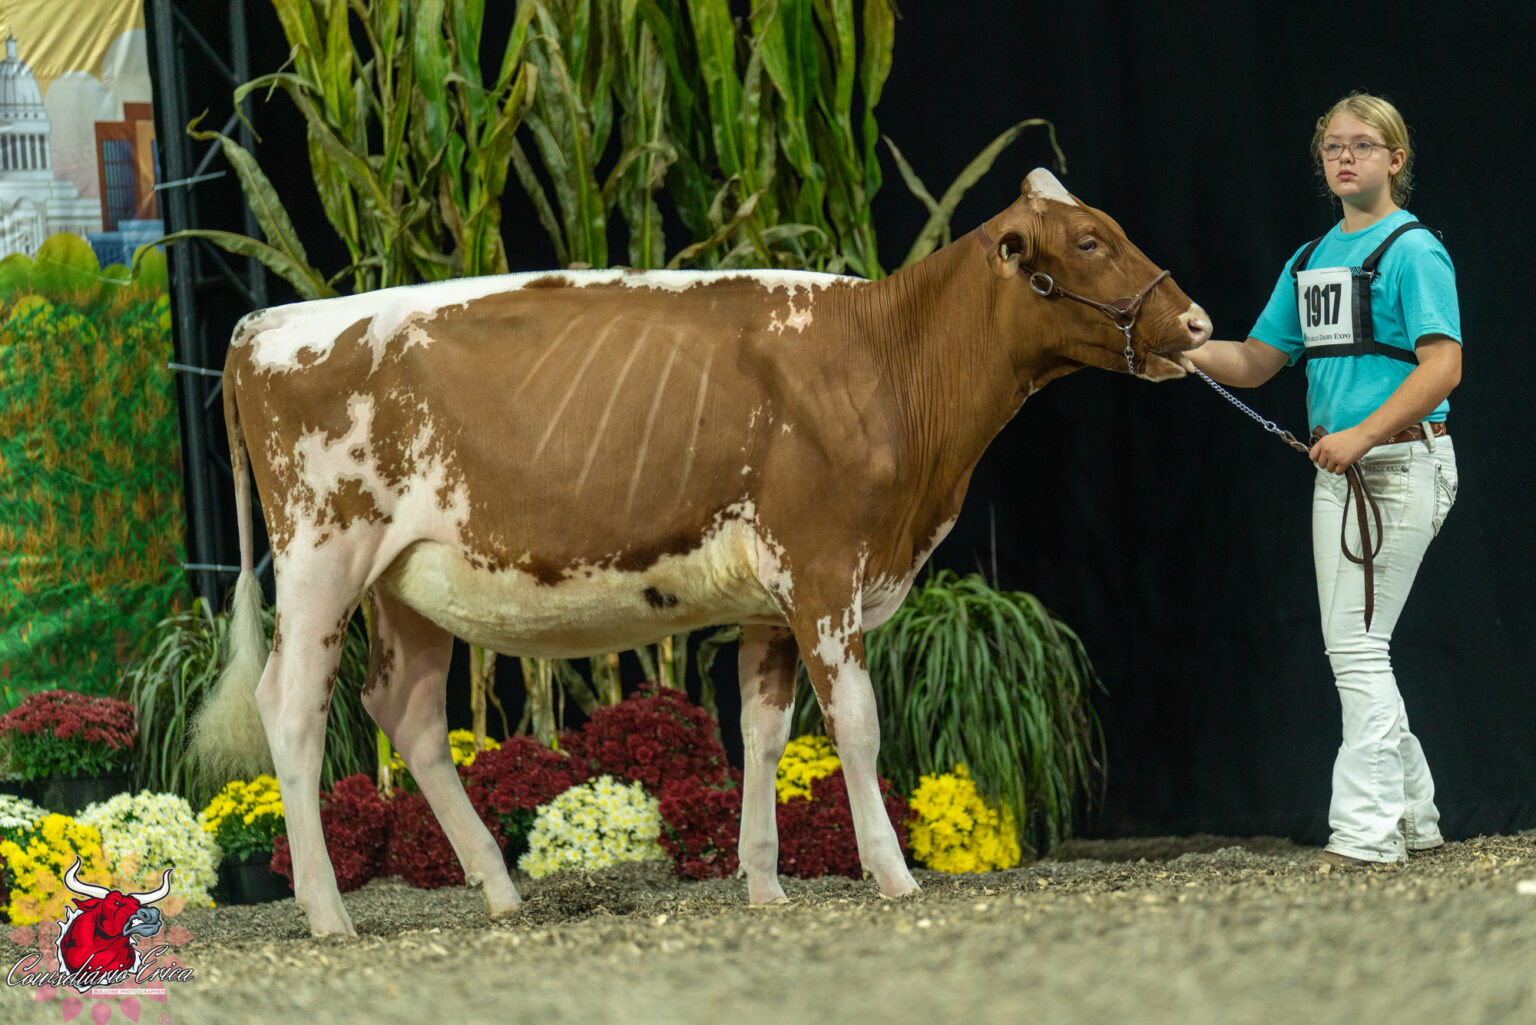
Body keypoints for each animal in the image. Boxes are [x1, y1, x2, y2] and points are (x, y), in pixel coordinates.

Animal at [191, 168, 1210, 936]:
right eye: (1088, 243)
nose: (1198, 324)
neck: (884, 363)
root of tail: (264, 325)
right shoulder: (824, 569)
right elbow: (858, 725)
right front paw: (893, 873)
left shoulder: (774, 602)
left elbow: (763, 732)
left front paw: (763, 882)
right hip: (322, 555)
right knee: (294, 707)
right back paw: (328, 912)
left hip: (405, 581)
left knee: (407, 711)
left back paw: (500, 887)